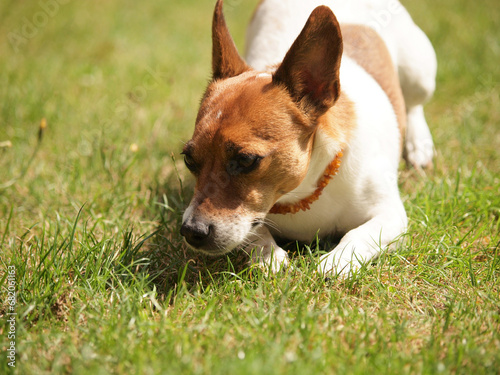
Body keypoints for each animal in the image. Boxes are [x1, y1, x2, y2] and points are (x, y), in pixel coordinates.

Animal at [181, 0, 438, 276]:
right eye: (188, 160)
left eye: (247, 160)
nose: (190, 231)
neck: (300, 192)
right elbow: (254, 231)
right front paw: (267, 255)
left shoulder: (391, 216)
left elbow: (360, 233)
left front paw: (338, 260)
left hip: (419, 73)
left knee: (414, 105)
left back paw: (418, 144)